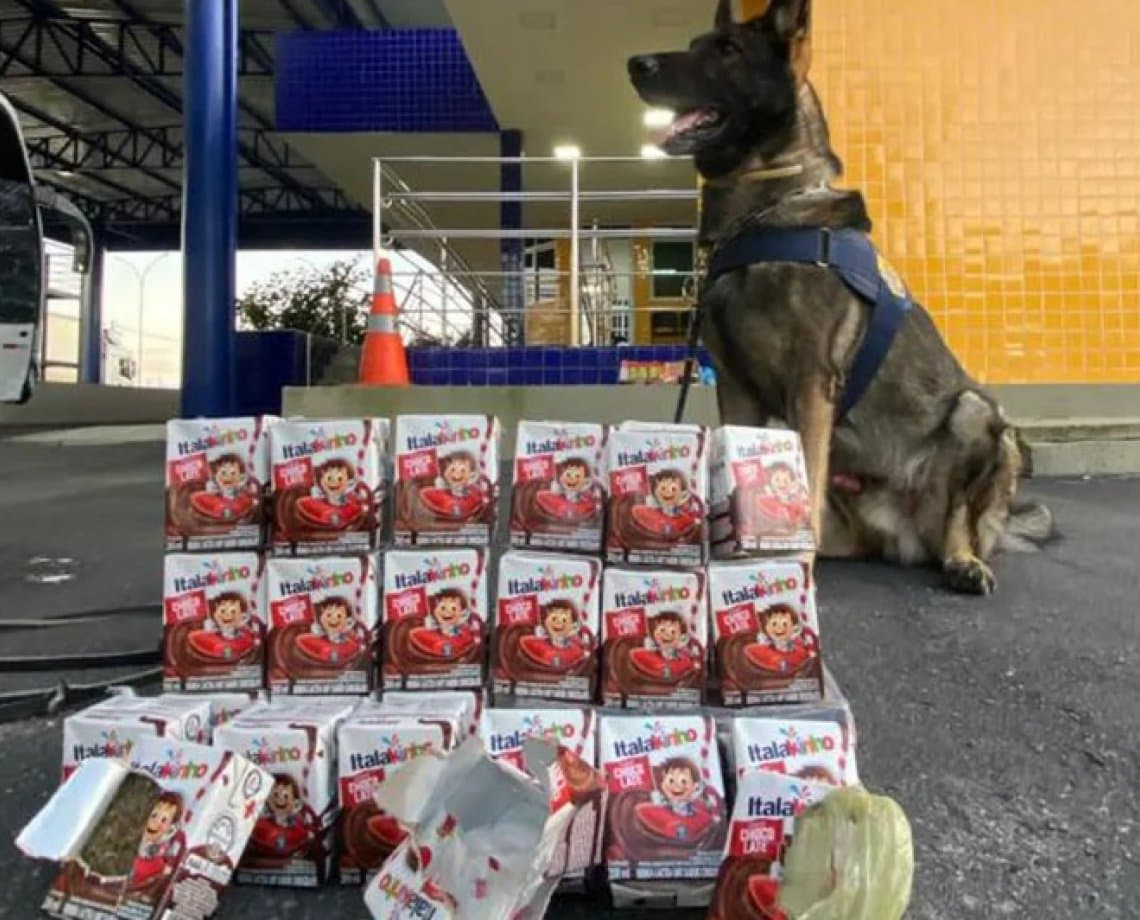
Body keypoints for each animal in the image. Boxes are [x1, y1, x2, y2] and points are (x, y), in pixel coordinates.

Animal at [633, 0, 1048, 597]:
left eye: (728, 51)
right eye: (694, 44)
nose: (634, 64)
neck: (764, 210)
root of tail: (907, 538)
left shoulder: (812, 381)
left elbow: (805, 467)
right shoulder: (736, 388)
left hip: (980, 415)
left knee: (958, 519)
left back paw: (962, 560)